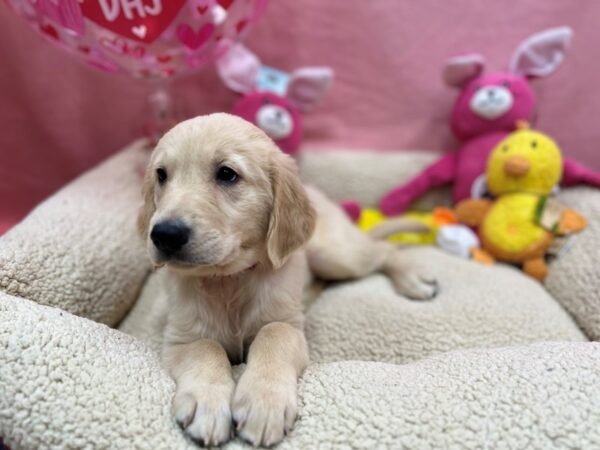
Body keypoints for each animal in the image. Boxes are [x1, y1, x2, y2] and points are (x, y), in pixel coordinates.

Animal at [138, 113, 438, 446]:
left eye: (227, 174)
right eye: (162, 175)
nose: (164, 234)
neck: (229, 279)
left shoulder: (289, 325)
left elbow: (273, 333)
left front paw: (263, 402)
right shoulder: (180, 338)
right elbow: (206, 347)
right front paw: (207, 403)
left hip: (334, 254)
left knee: (385, 250)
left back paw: (414, 281)